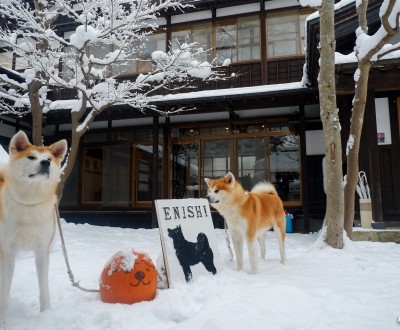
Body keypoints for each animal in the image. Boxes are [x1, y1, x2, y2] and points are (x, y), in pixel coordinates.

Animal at [0, 131, 67, 328]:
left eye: (49, 159)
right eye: (31, 157)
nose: (45, 163)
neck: (29, 202)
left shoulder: (42, 251)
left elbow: (44, 288)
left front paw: (46, 314)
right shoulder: (8, 252)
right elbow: (4, 294)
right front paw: (2, 321)